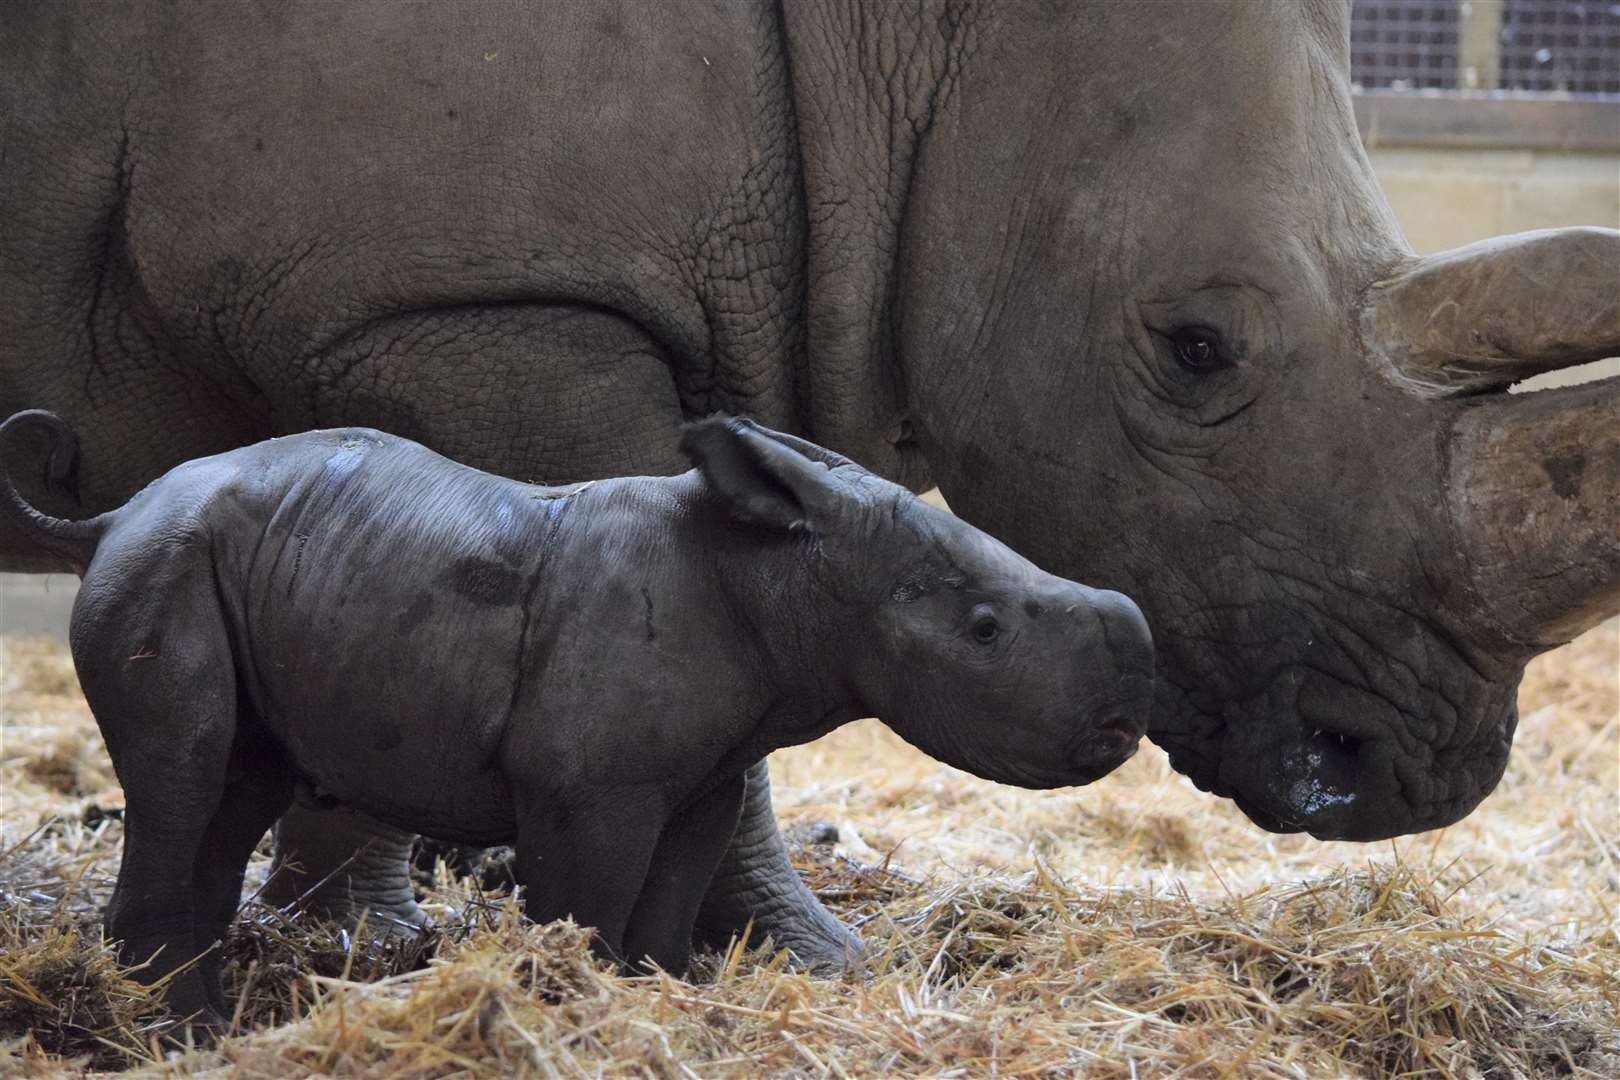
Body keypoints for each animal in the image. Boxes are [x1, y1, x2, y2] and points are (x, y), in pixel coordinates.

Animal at [0, 411, 1153, 1029]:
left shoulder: (707, 776)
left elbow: (665, 911)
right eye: (987, 630)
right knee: (185, 776)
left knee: (235, 789)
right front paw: (561, 1000)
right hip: (164, 560)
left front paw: (654, 1000)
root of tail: (116, 512)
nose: (1124, 716)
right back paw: (178, 1029)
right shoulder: (586, 787)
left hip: (224, 561)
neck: (785, 572)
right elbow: (586, 909)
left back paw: (205, 1013)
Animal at [3, 0, 1620, 965]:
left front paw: (373, 941)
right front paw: (802, 959)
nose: (1416, 773)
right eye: (1196, 348)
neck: (903, 47)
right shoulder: (455, 297)